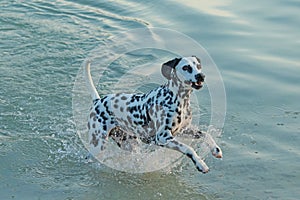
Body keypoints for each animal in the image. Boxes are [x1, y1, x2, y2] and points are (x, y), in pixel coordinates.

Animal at [85, 56, 221, 173]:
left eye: (198, 66)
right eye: (186, 67)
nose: (201, 76)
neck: (179, 99)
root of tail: (98, 101)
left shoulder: (184, 130)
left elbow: (206, 134)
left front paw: (215, 149)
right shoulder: (163, 137)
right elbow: (188, 148)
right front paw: (200, 164)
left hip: (129, 143)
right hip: (97, 144)